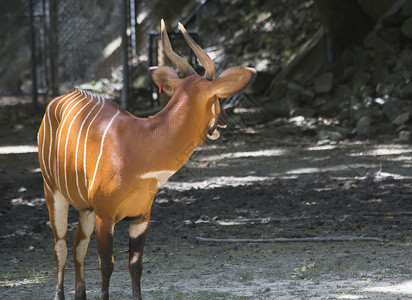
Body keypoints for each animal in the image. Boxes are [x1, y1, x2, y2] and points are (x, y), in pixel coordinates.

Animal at [38, 19, 256, 298]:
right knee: (61, 246)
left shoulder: (141, 216)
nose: (224, 122)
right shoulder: (105, 214)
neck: (143, 145)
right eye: (218, 98)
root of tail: (57, 101)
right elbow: (106, 265)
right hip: (53, 192)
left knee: (78, 245)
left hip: (85, 207)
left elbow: (135, 265)